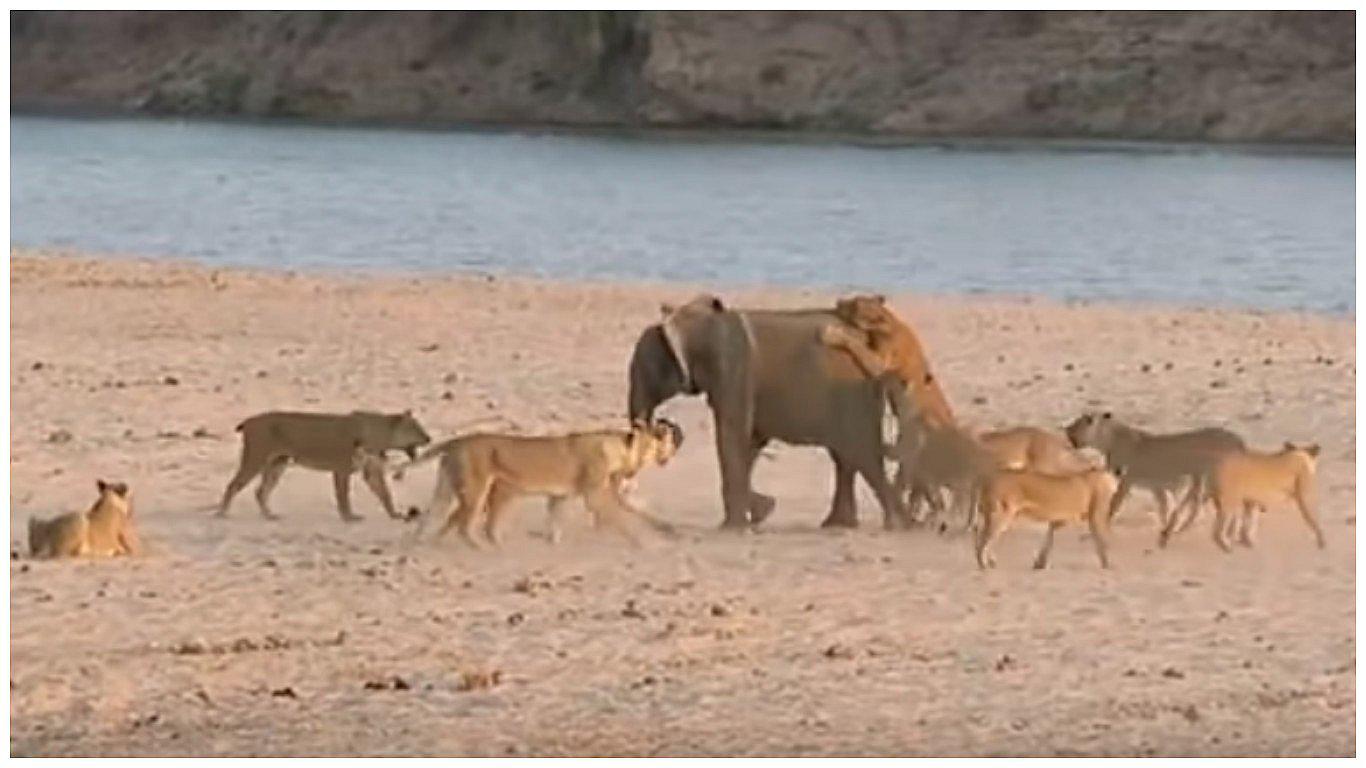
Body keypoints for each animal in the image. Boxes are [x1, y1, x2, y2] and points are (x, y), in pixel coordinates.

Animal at [217, 410, 431, 522]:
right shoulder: (342, 469)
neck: (382, 435)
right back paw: (222, 513)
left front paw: (395, 514)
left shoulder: (371, 470)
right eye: (416, 429)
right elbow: (343, 495)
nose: (429, 438)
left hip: (278, 464)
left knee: (261, 491)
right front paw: (349, 517)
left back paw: (269, 515)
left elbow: (385, 493)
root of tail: (249, 420)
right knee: (233, 485)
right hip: (256, 458)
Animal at [398, 419, 684, 547]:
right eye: (663, 438)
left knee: (431, 516)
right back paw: (486, 549)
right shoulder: (594, 495)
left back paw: (419, 544)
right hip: (478, 488)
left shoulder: (559, 496)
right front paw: (643, 542)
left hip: (446, 487)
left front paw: (554, 544)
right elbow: (618, 517)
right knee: (463, 526)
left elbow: (555, 521)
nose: (676, 442)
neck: (621, 449)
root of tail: (454, 442)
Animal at [626, 293, 909, 530]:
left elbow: (732, 436)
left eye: (644, 370)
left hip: (856, 397)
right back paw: (838, 525)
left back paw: (898, 524)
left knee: (862, 455)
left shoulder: (733, 371)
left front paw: (734, 528)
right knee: (845, 457)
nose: (663, 423)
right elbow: (750, 441)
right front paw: (761, 511)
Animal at [975, 467, 1121, 570]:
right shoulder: (1095, 516)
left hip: (998, 515)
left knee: (985, 538)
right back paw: (984, 564)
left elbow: (1049, 539)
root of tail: (987, 480)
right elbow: (1102, 539)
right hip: (1002, 514)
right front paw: (1107, 563)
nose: (1115, 488)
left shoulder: (1058, 521)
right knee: (983, 540)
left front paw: (1040, 564)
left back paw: (989, 562)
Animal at [1063, 411, 1245, 534]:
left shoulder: (1127, 480)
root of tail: (1237, 439)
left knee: (1202, 506)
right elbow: (1163, 507)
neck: (1110, 441)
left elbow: (1115, 503)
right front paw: (1164, 525)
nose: (1066, 429)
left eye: (1079, 423)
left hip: (1209, 479)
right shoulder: (1156, 487)